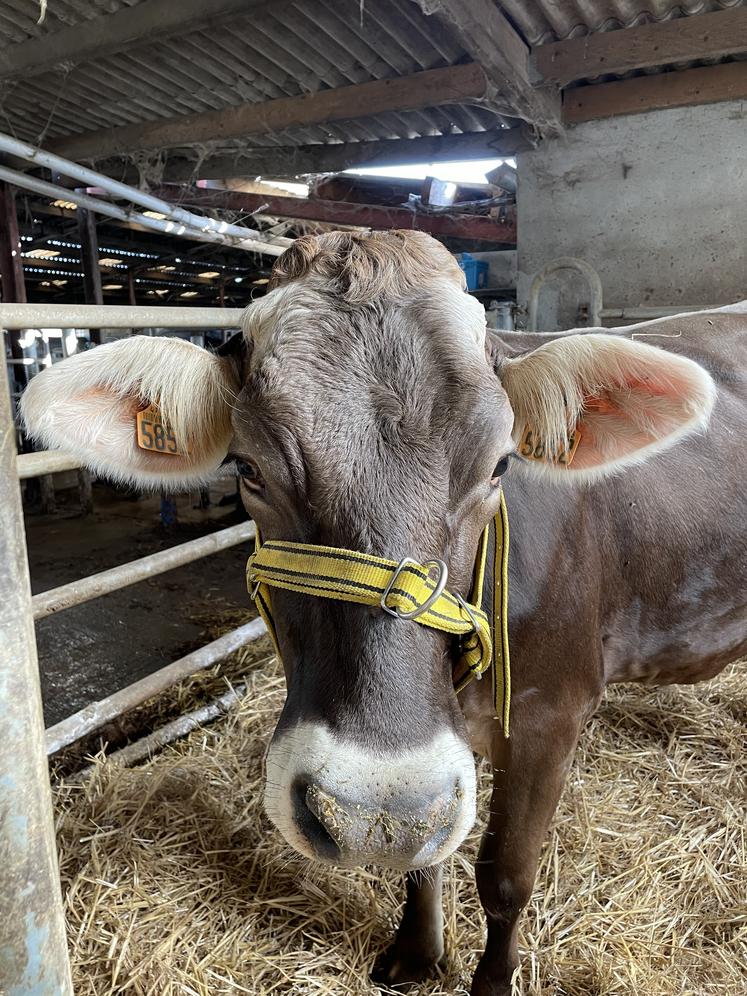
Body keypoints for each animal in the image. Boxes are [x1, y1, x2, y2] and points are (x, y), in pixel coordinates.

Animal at [20, 230, 744, 992]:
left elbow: (504, 877)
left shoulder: (553, 713)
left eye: (500, 465)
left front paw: (490, 981)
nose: (367, 807)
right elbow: (422, 852)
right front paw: (418, 953)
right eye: (247, 468)